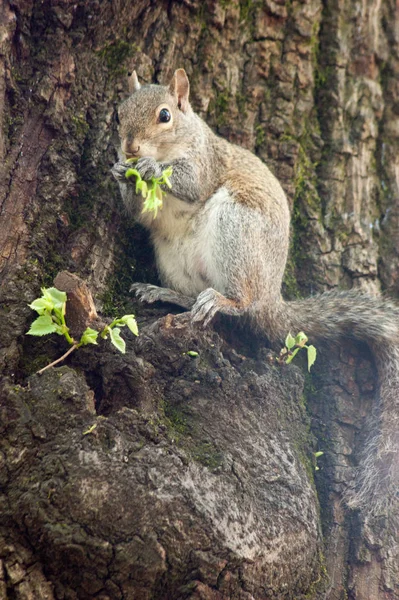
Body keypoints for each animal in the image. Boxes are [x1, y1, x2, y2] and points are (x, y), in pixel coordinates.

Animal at [111, 67, 399, 520]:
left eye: (164, 115)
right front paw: (119, 171)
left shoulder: (207, 163)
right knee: (191, 292)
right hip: (173, 254)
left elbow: (190, 182)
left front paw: (149, 166)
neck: (186, 137)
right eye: (117, 113)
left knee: (241, 302)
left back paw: (222, 300)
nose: (130, 146)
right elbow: (139, 213)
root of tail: (270, 296)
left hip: (238, 226)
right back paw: (164, 293)